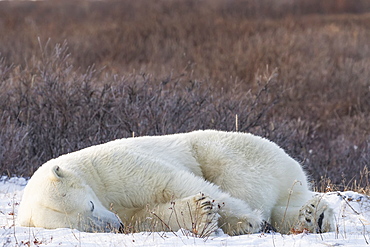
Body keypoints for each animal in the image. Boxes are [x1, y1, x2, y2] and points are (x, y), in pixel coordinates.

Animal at [18, 129, 336, 235]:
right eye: (85, 226)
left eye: (91, 205)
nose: (115, 226)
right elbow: (148, 216)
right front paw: (201, 213)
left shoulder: (112, 166)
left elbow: (170, 182)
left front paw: (245, 221)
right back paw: (311, 216)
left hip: (237, 154)